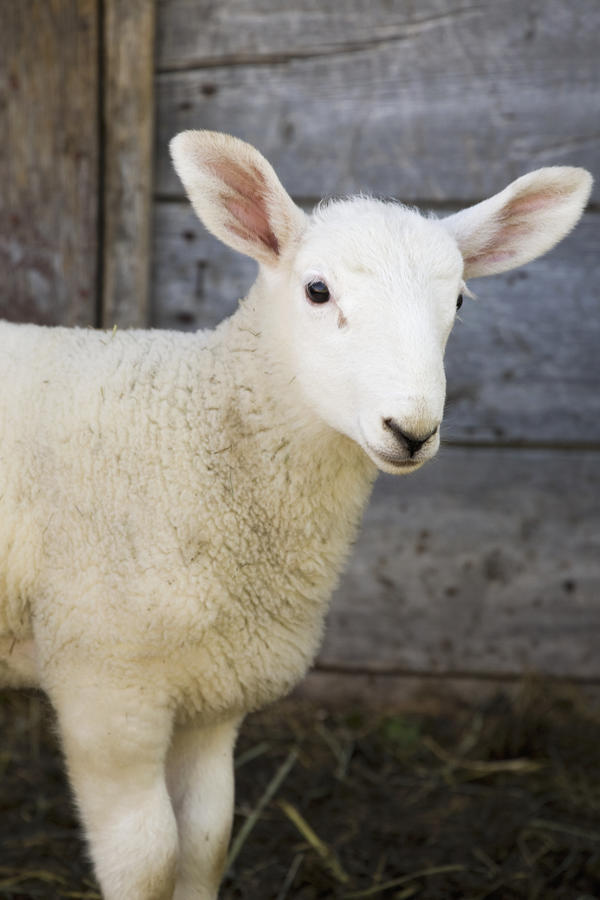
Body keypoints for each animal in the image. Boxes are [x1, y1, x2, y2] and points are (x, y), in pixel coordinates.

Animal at [0, 129, 592, 900]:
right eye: (317, 291)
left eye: (460, 301)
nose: (411, 430)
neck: (197, 434)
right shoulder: (106, 690)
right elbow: (150, 861)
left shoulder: (214, 693)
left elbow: (206, 843)